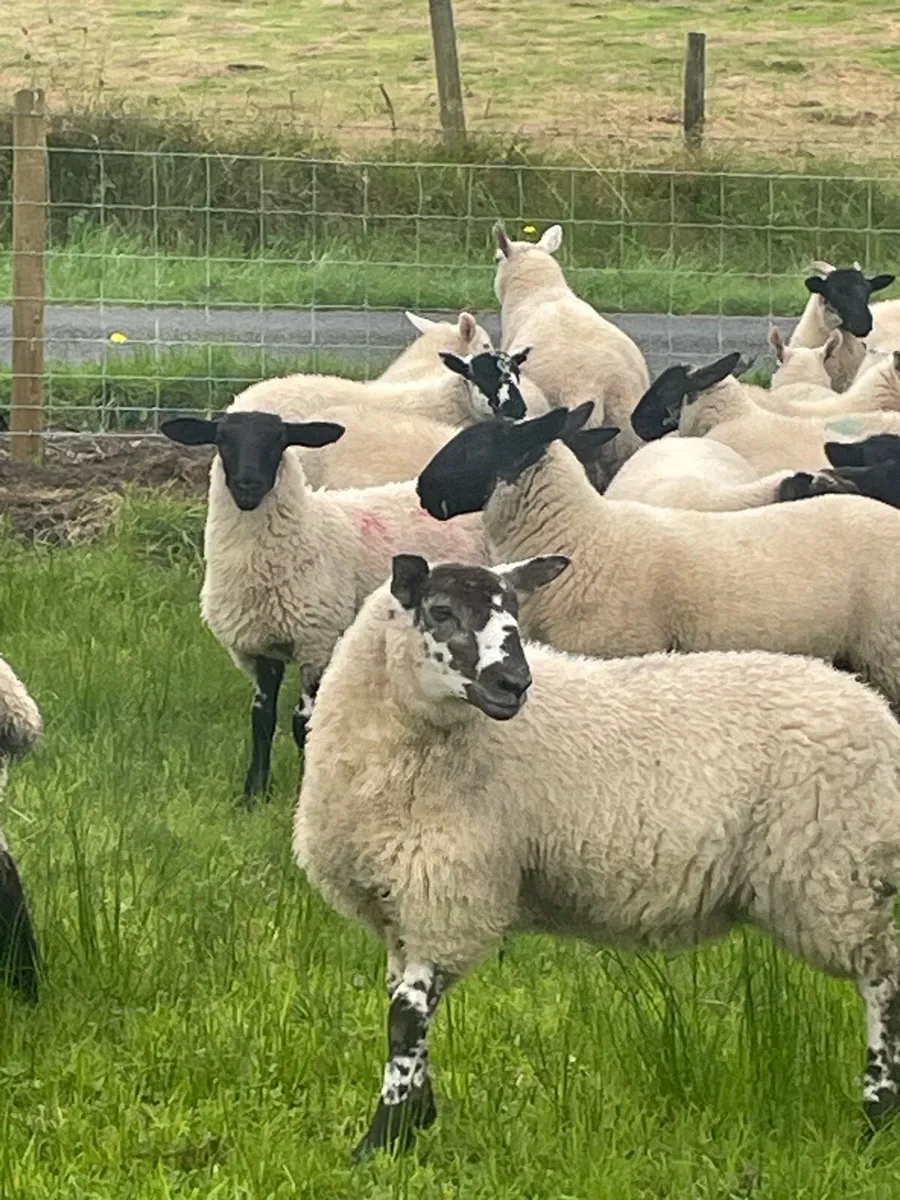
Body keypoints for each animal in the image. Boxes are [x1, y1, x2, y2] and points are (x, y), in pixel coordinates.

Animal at [160, 411, 490, 801]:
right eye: (223, 439)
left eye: (279, 440)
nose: (248, 484)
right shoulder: (261, 647)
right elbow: (262, 720)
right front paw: (254, 793)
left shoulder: (316, 642)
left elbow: (303, 723)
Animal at [294, 553, 900, 1158]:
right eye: (441, 612)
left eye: (515, 613)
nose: (515, 683)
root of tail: (877, 713)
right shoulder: (399, 902)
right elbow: (404, 1005)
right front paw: (416, 1119)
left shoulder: (448, 894)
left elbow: (406, 1016)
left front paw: (382, 1139)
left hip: (836, 870)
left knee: (884, 980)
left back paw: (877, 1114)